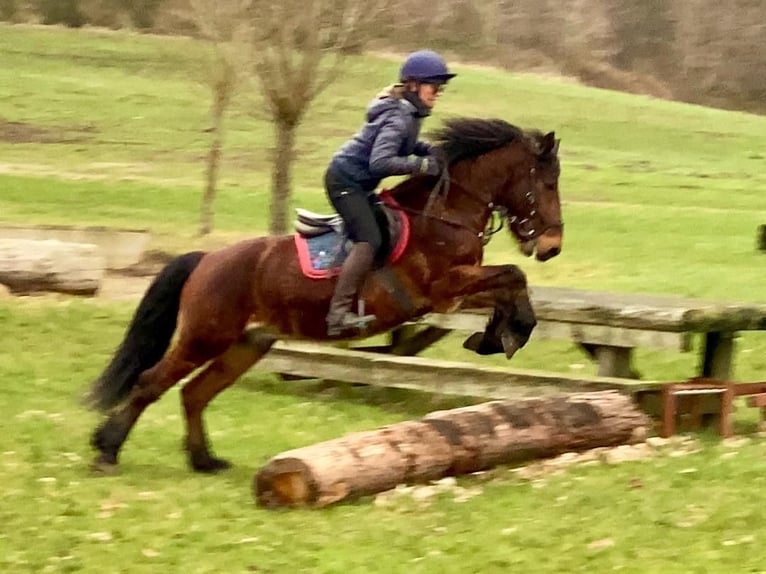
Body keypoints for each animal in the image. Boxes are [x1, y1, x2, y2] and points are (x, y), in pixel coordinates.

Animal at [85, 117, 563, 473]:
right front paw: (506, 333)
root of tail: (207, 260)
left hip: (246, 344)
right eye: (547, 184)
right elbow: (513, 274)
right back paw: (107, 450)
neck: (444, 213)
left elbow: (509, 286)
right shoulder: (445, 288)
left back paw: (204, 460)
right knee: (152, 382)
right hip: (206, 336)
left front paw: (498, 336)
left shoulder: (451, 296)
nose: (552, 246)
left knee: (194, 393)